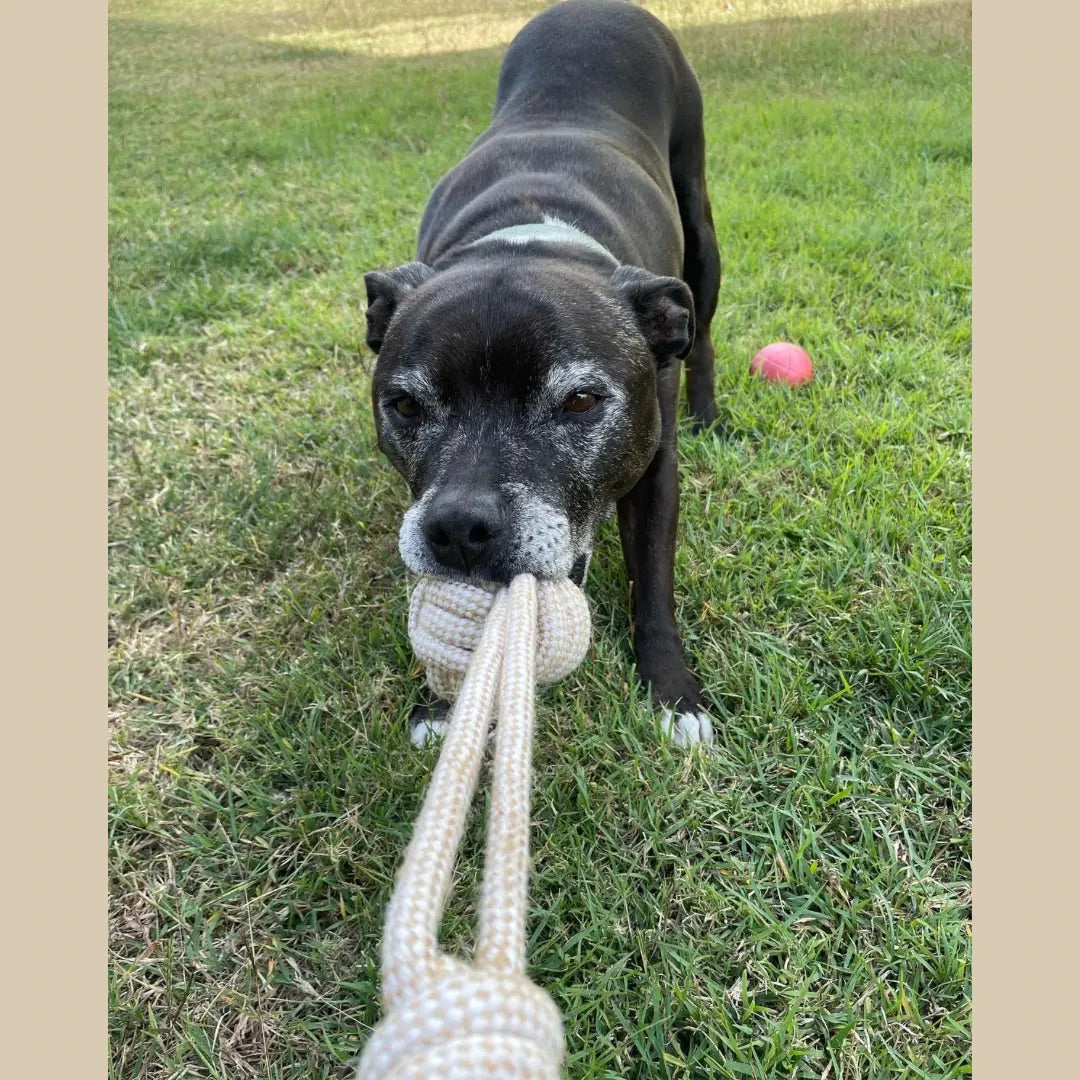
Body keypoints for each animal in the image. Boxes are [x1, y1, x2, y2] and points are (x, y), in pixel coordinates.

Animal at [365, 0, 725, 747]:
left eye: (581, 401)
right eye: (405, 407)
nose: (459, 528)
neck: (530, 238)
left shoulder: (654, 469)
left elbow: (653, 583)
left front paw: (674, 695)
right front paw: (442, 703)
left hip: (701, 230)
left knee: (702, 332)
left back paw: (709, 412)